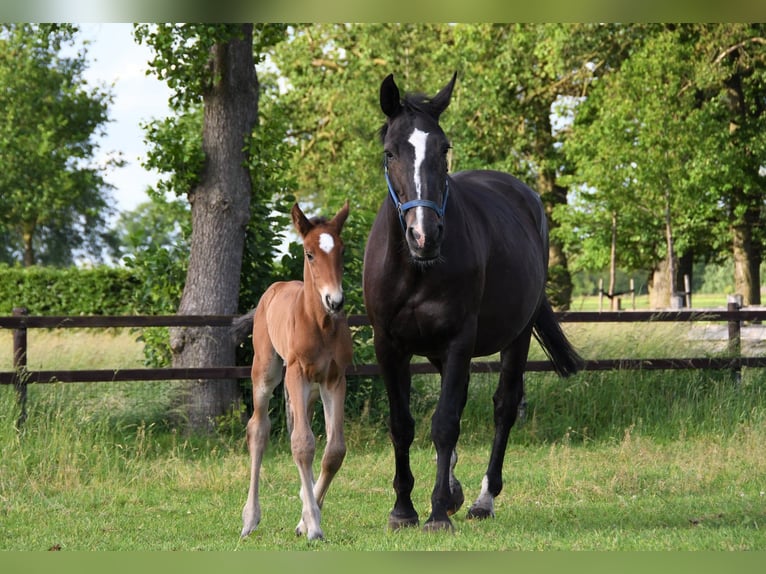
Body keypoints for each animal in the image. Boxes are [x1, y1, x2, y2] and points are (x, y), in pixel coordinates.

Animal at [364, 73, 584, 536]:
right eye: (391, 152)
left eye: (443, 148)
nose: (424, 236)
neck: (416, 269)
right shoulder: (389, 346)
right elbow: (402, 425)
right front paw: (403, 509)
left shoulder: (458, 341)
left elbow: (445, 423)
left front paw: (434, 513)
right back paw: (454, 492)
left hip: (517, 337)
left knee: (504, 406)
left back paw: (483, 498)